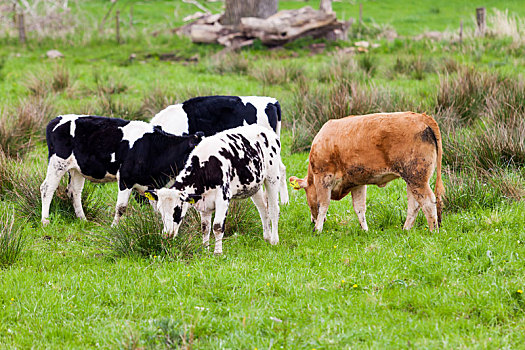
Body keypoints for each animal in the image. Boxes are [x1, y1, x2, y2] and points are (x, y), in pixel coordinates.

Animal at [39, 113, 202, 226]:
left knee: (74, 191)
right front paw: (114, 227)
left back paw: (82, 219)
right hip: (58, 162)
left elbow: (157, 206)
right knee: (47, 188)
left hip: (77, 169)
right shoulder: (125, 178)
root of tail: (56, 119)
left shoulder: (151, 184)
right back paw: (45, 221)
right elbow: (121, 207)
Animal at [145, 125, 284, 254]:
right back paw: (267, 237)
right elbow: (205, 228)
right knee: (263, 209)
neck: (205, 166)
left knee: (273, 210)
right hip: (254, 186)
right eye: (160, 211)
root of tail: (265, 130)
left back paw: (274, 240)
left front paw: (217, 252)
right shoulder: (204, 202)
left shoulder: (223, 197)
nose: (167, 234)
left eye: (177, 210)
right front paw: (205, 250)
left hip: (272, 177)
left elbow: (217, 226)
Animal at [288, 112, 444, 232]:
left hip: (417, 178)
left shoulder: (323, 178)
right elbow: (359, 208)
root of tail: (422, 117)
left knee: (428, 202)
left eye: (307, 193)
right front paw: (365, 230)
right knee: (415, 205)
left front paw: (318, 230)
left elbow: (323, 205)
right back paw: (406, 230)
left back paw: (433, 231)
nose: (312, 221)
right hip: (412, 179)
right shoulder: (357, 183)